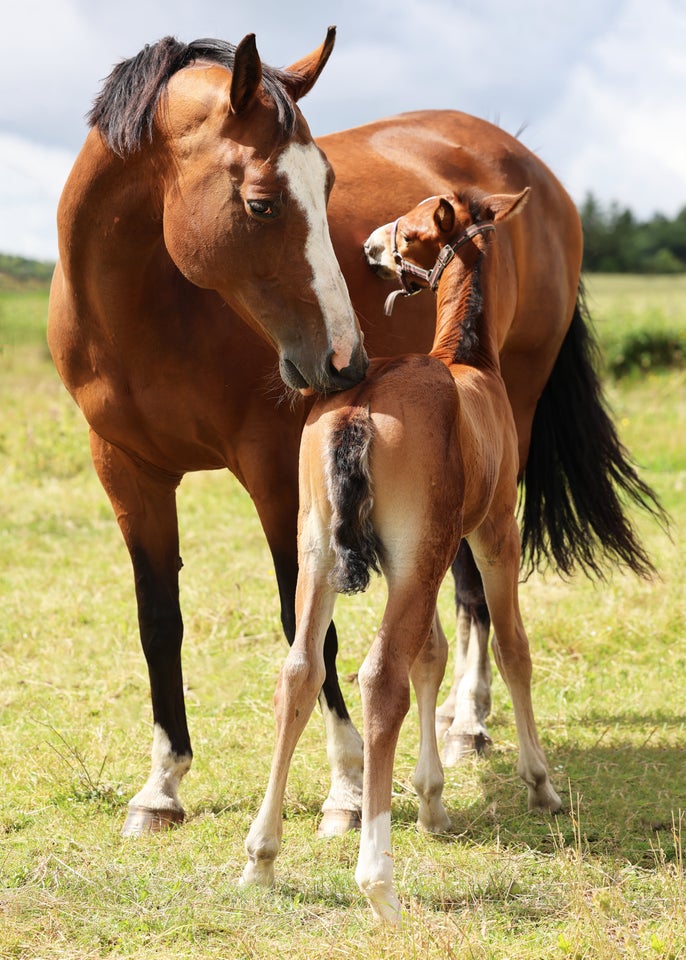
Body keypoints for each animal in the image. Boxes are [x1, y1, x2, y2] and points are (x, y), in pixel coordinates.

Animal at [47, 30, 660, 840]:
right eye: (261, 203)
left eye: (329, 186)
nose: (346, 361)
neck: (148, 306)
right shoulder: (125, 470)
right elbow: (158, 622)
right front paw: (162, 785)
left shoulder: (278, 474)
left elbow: (307, 625)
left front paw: (343, 785)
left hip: (507, 442)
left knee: (474, 591)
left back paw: (469, 723)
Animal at [243, 189, 564, 924]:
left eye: (412, 227)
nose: (368, 246)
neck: (469, 360)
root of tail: (359, 409)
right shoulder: (492, 535)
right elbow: (511, 647)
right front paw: (539, 784)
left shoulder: (412, 560)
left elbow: (433, 655)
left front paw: (433, 800)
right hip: (426, 556)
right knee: (379, 676)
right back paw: (377, 879)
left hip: (318, 552)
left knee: (300, 671)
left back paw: (261, 856)